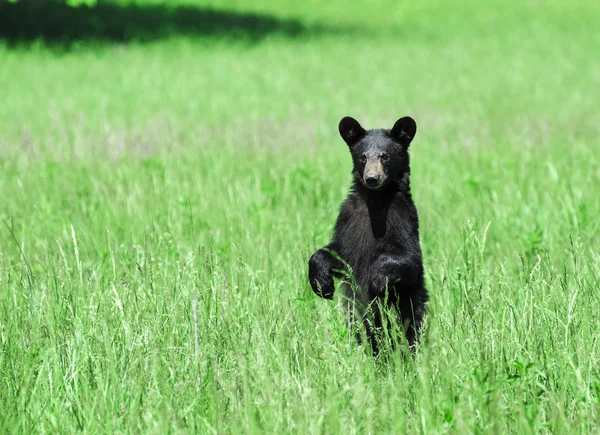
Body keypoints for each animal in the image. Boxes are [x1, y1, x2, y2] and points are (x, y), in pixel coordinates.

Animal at [310, 115, 426, 354]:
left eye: (385, 156)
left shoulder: (404, 218)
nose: (372, 178)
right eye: (363, 157)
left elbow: (408, 257)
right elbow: (337, 253)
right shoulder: (348, 219)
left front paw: (377, 279)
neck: (375, 201)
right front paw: (322, 284)